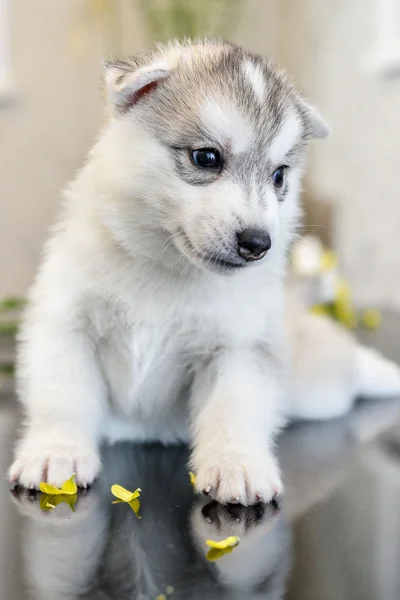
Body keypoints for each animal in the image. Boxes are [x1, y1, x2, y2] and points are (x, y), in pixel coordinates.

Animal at [8, 38, 400, 502]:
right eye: (207, 157)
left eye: (279, 176)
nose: (258, 243)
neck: (164, 267)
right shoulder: (66, 324)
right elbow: (62, 396)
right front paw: (57, 452)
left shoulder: (237, 348)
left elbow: (233, 408)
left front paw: (237, 465)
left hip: (320, 384)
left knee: (351, 361)